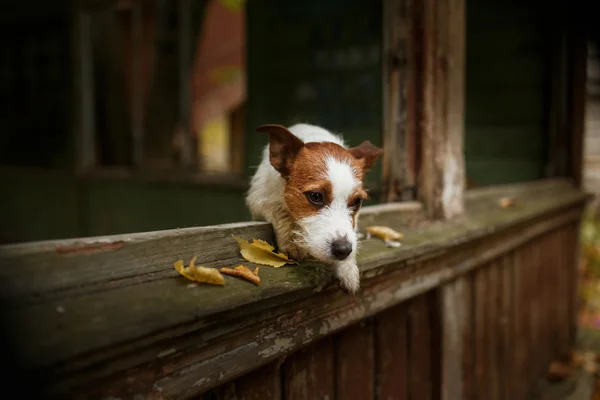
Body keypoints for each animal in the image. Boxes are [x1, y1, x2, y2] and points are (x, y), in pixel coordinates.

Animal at [247, 123, 380, 292]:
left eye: (357, 201)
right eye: (316, 196)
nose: (343, 250)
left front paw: (347, 267)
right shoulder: (258, 200)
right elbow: (280, 211)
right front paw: (292, 241)